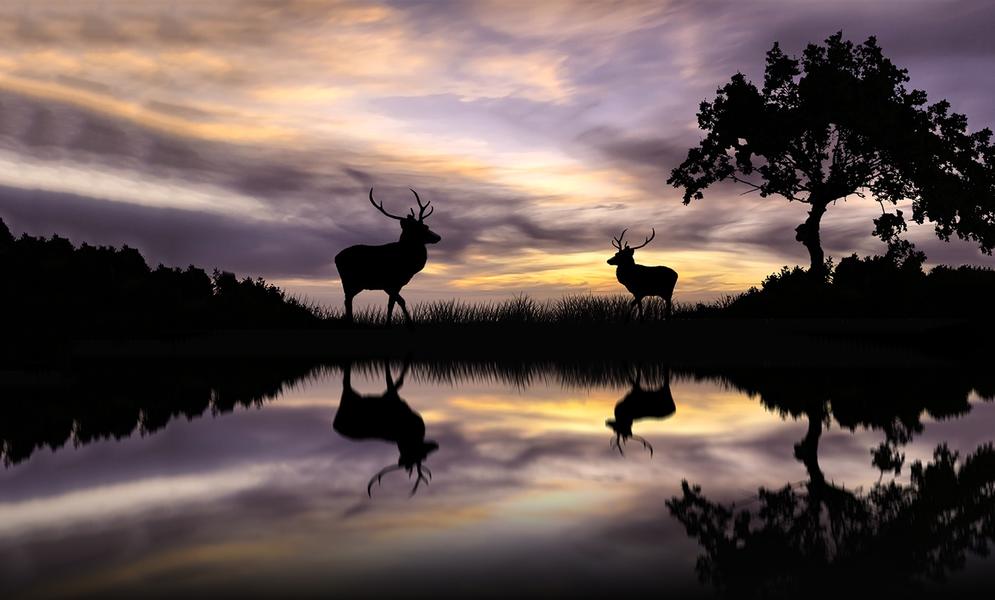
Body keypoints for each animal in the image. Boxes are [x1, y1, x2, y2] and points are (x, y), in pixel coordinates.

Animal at [332, 360, 438, 496]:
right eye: (411, 456)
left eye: (417, 457)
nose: (401, 462)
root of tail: (335, 424)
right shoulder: (391, 395)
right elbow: (395, 378)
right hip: (350, 396)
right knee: (346, 380)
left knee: (346, 380)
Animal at [334, 189, 440, 326]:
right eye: (422, 228)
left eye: (426, 225)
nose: (438, 237)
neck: (409, 266)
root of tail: (336, 257)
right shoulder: (389, 283)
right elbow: (399, 302)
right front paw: (406, 323)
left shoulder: (396, 285)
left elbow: (393, 304)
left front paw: (391, 322)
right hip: (349, 280)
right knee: (347, 300)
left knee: (348, 299)